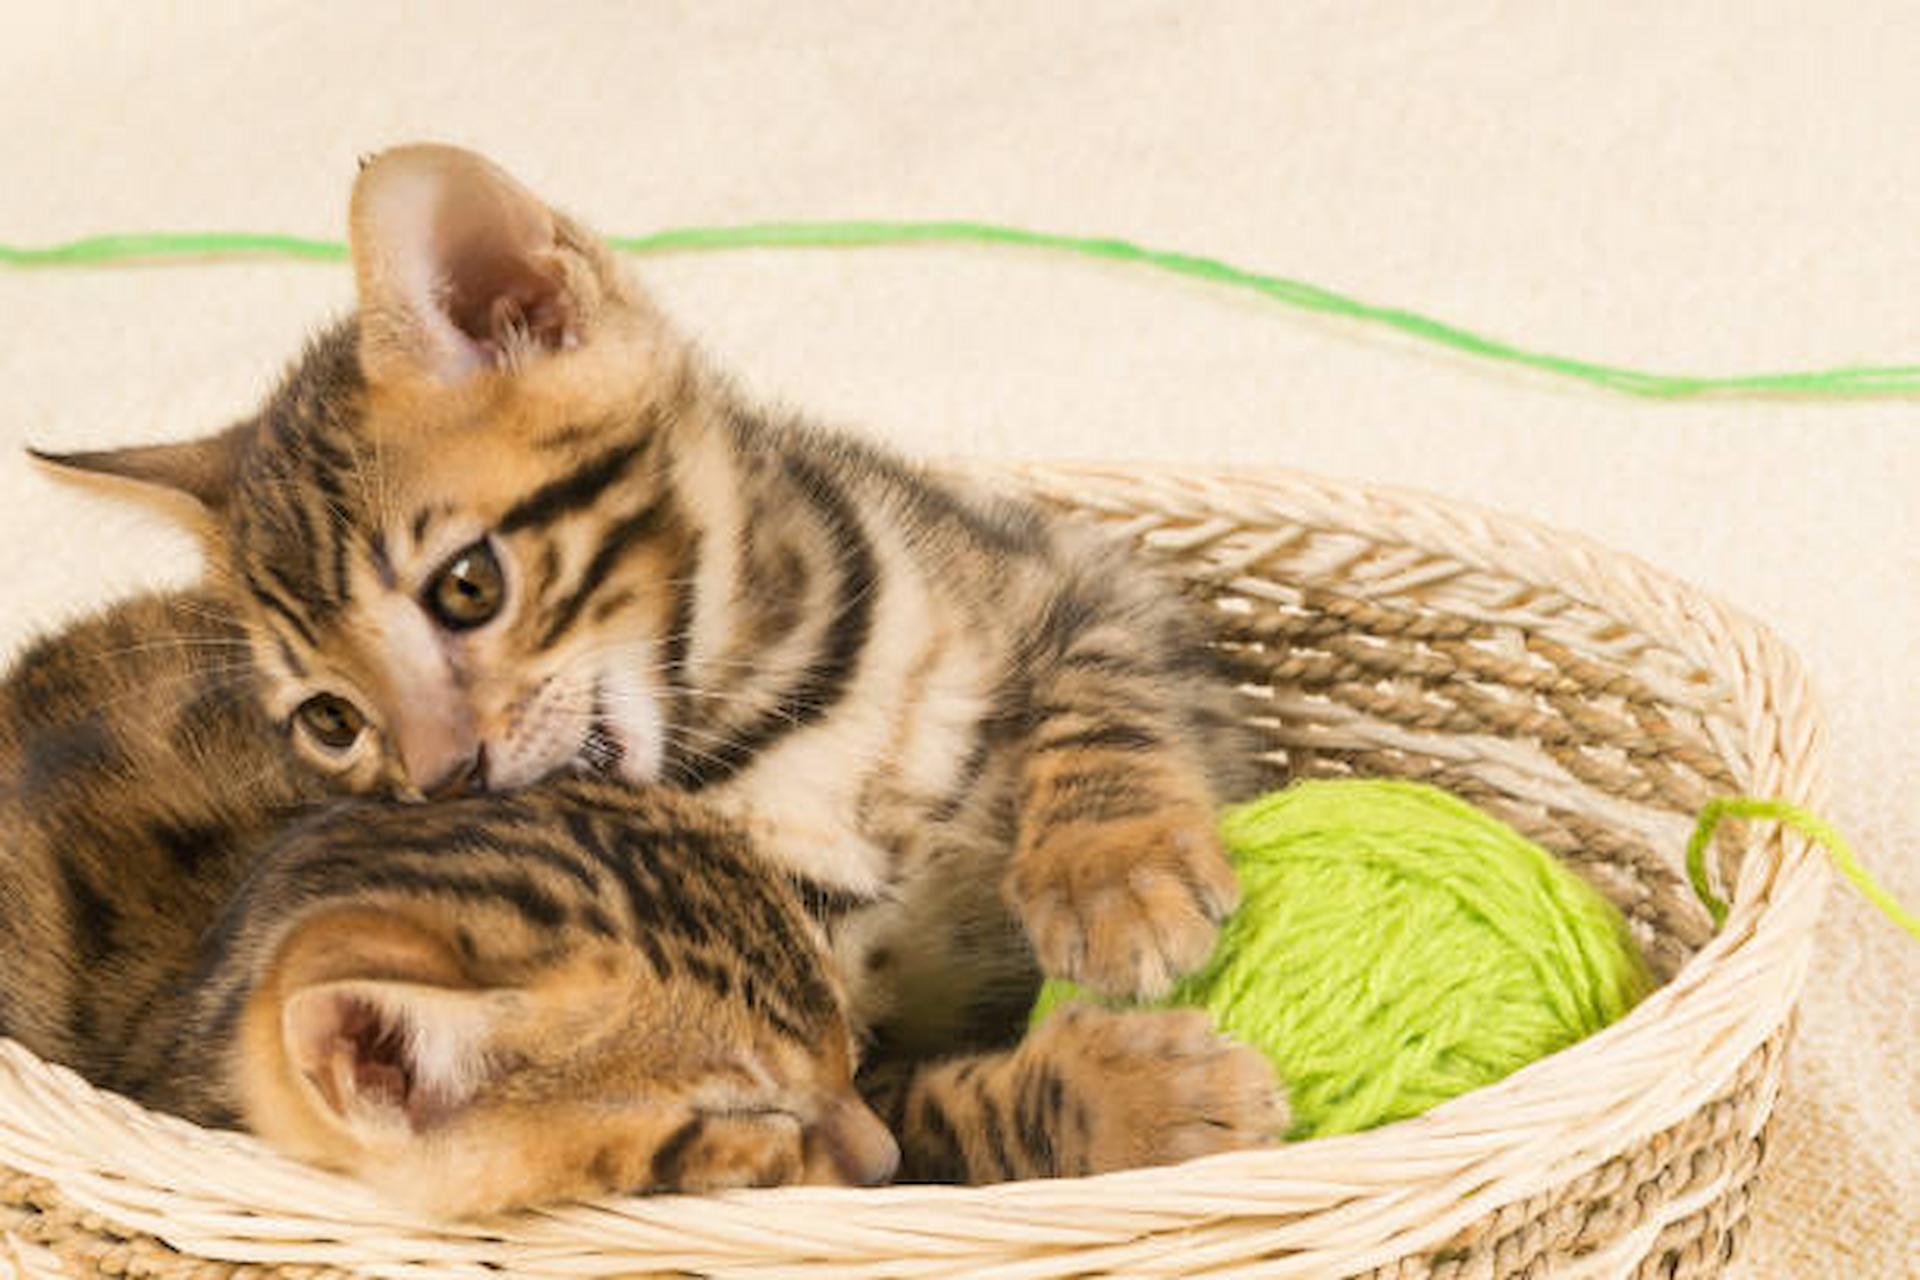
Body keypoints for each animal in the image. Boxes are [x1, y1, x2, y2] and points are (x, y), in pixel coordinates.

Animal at [37, 144, 1282, 1174]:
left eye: (467, 585)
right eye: (331, 719)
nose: (437, 778)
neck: (776, 720)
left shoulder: (1074, 573)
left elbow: (1099, 693)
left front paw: (1113, 877)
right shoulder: (818, 1014)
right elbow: (926, 1116)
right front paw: (1141, 1099)